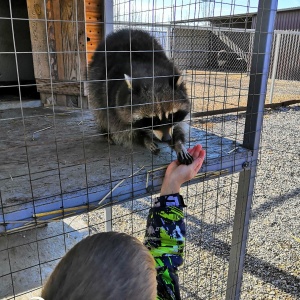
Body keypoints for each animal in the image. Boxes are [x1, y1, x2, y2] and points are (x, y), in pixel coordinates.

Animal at [88, 29, 193, 165]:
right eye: (153, 120)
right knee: (100, 109)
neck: (150, 73)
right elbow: (123, 129)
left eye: (171, 117)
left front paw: (178, 143)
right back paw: (106, 133)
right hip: (95, 83)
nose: (166, 138)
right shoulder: (113, 102)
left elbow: (179, 125)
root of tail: (126, 30)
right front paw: (145, 139)